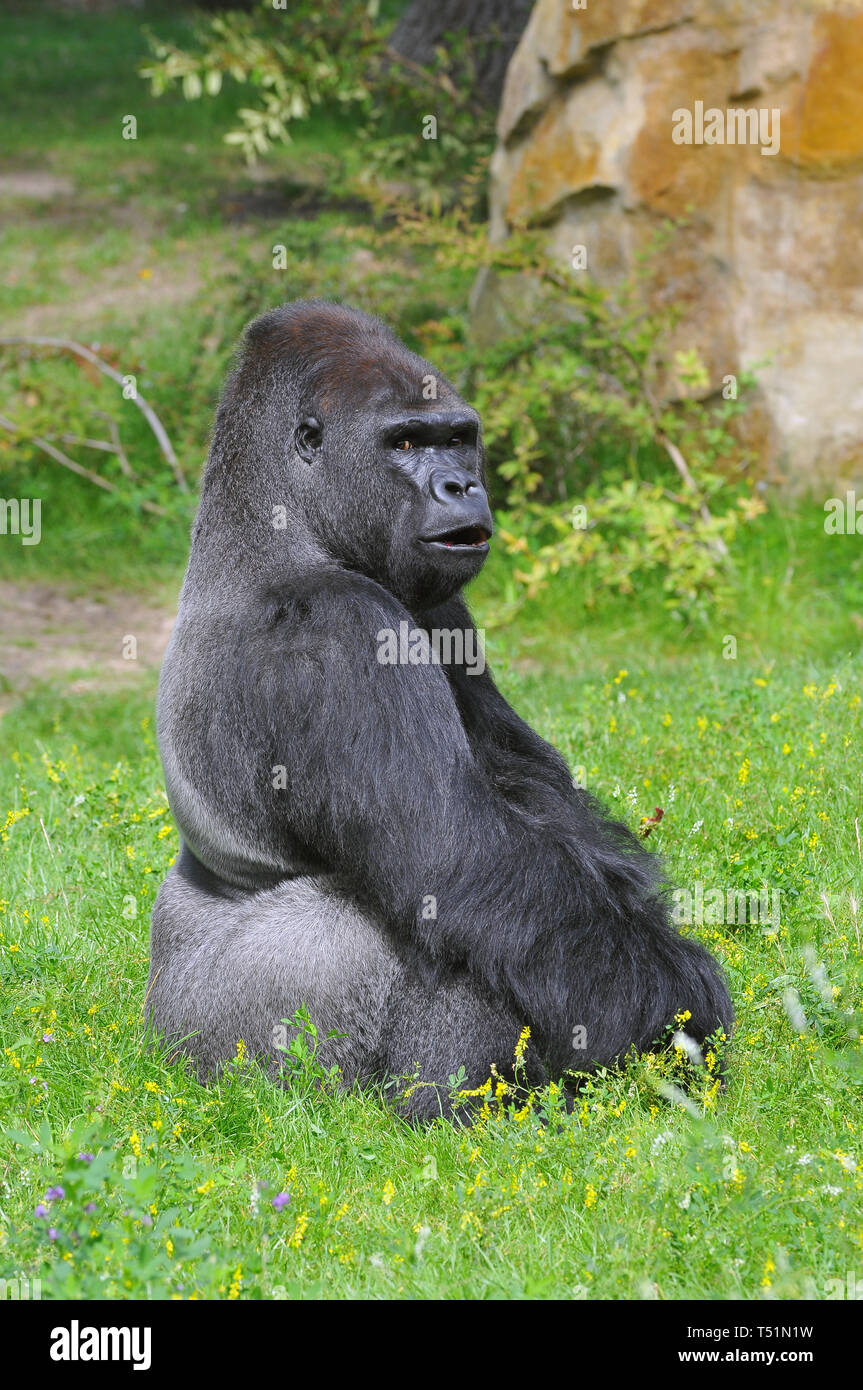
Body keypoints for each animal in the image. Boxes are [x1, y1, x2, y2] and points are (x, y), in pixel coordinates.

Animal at [144, 301, 728, 1117]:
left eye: (456, 437)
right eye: (405, 442)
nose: (460, 485)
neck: (279, 529)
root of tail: (159, 1039)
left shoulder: (438, 600)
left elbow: (537, 793)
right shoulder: (339, 628)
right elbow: (460, 859)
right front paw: (678, 1009)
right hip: (238, 1057)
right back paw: (458, 1111)